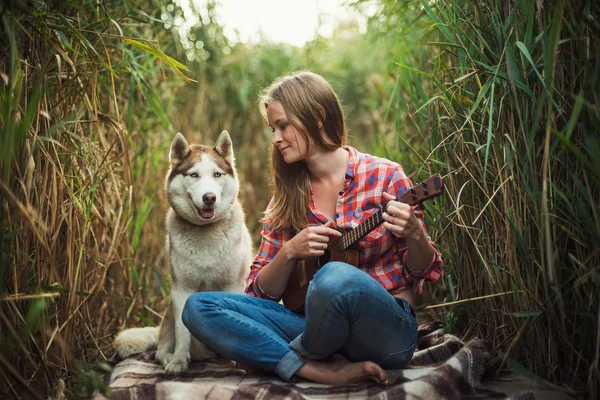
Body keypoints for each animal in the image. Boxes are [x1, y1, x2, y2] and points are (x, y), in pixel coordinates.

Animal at [113, 133, 252, 374]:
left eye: (217, 174)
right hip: (169, 312)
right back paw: (171, 357)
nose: (209, 197)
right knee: (160, 349)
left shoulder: (234, 284)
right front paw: (178, 360)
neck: (206, 233)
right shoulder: (181, 290)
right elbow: (182, 332)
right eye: (193, 174)